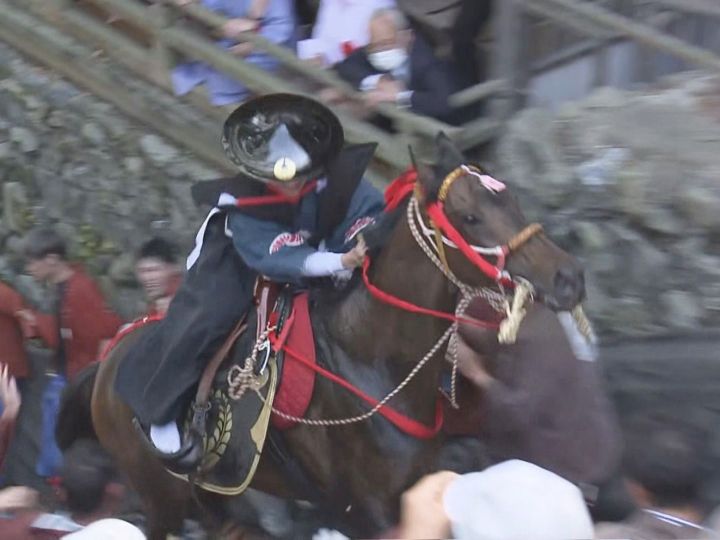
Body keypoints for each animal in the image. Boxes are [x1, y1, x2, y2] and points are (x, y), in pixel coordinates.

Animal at [56, 133, 584, 536]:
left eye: (511, 199)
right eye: (470, 217)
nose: (567, 277)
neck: (369, 359)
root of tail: (107, 361)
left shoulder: (419, 484)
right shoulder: (364, 510)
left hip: (209, 496)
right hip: (161, 494)